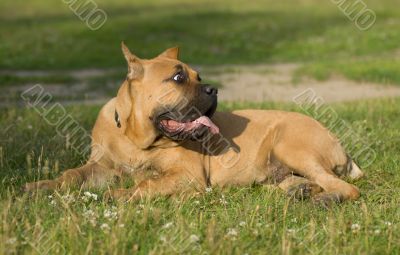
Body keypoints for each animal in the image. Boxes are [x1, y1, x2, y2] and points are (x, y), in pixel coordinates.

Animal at [23, 43, 364, 207]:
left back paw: (325, 200)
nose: (214, 89)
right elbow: (72, 175)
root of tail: (341, 147)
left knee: (344, 187)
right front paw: (42, 186)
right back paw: (301, 191)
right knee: (302, 182)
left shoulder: (185, 175)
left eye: (198, 77)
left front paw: (121, 194)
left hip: (290, 144)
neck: (137, 140)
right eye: (178, 77)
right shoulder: (102, 166)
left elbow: (147, 184)